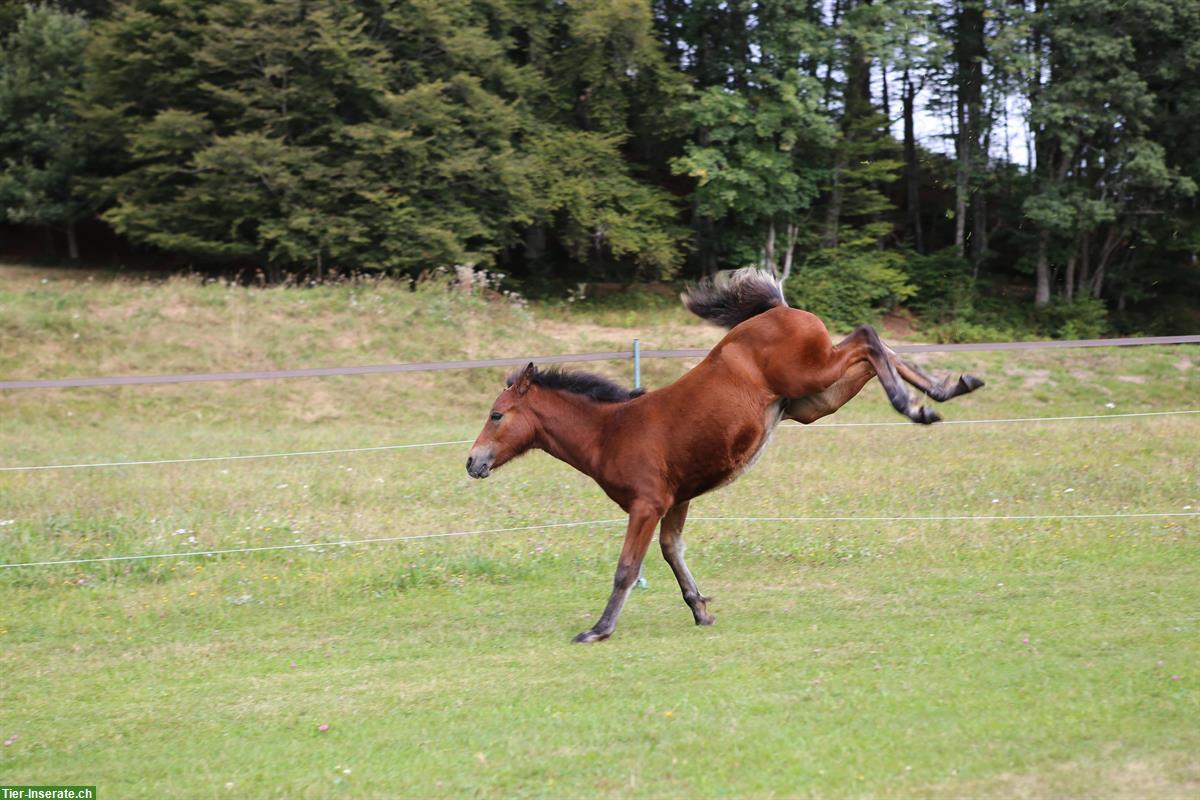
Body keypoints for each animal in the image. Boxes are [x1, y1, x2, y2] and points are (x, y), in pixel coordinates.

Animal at [463, 268, 979, 642]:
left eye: (496, 415)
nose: (472, 462)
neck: (611, 431)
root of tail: (780, 309)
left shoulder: (646, 504)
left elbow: (627, 569)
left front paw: (598, 630)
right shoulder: (676, 501)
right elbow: (673, 552)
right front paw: (701, 610)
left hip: (812, 377)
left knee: (867, 337)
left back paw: (912, 403)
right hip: (814, 401)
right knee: (874, 350)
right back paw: (945, 391)